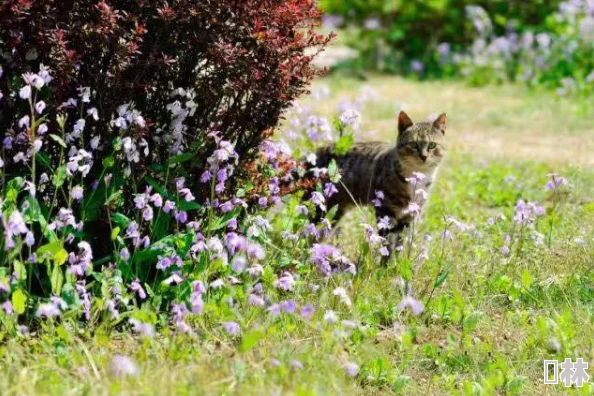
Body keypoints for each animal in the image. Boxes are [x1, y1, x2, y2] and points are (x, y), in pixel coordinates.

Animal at [310, 110, 444, 254]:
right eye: (414, 145)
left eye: (432, 145)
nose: (424, 157)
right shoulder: (385, 211)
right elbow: (388, 244)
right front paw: (386, 259)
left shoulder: (408, 215)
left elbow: (399, 246)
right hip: (322, 210)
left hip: (335, 212)